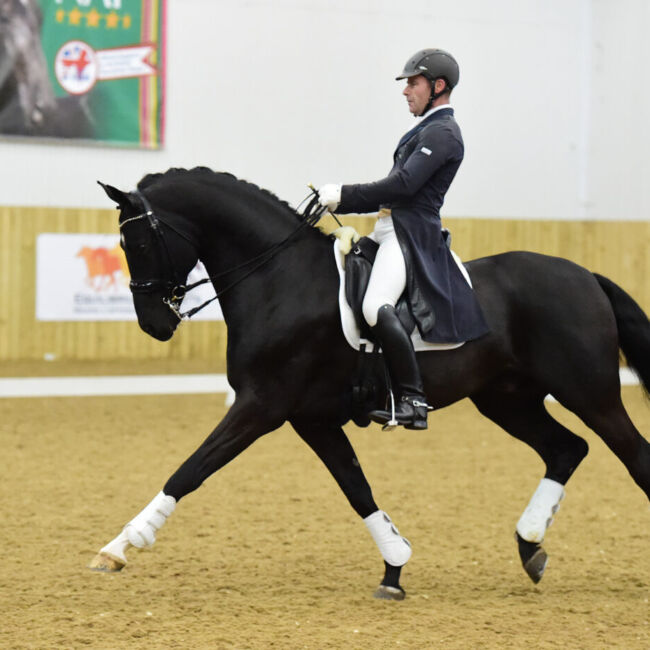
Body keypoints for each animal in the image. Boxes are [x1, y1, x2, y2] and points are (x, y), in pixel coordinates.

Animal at [89, 167, 650, 600]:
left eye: (139, 240)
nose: (154, 325)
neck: (280, 278)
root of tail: (585, 275)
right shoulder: (309, 419)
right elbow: (356, 487)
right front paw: (394, 568)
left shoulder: (261, 406)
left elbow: (191, 469)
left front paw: (119, 546)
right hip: (507, 400)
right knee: (566, 449)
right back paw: (530, 547)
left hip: (590, 394)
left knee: (633, 455)